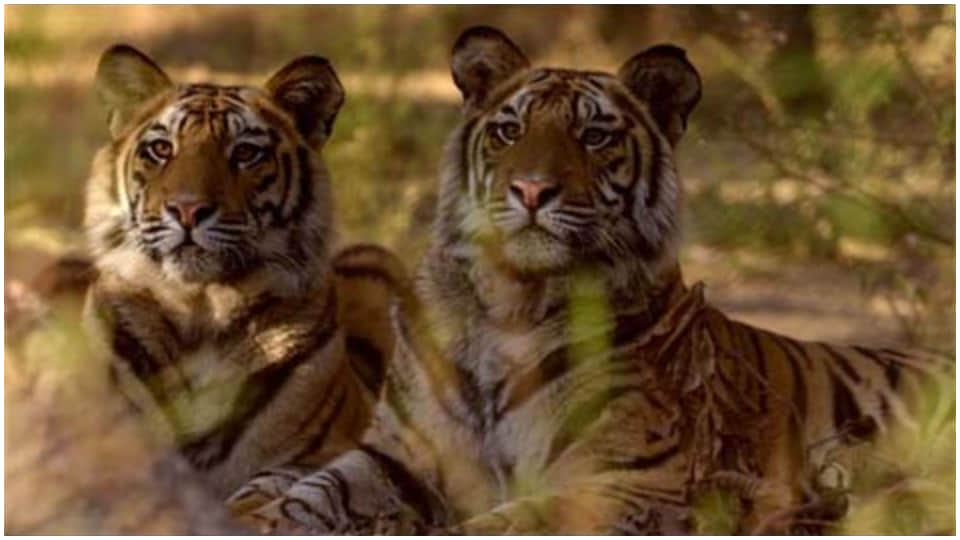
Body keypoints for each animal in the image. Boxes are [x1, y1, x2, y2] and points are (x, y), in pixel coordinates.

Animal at [81, 44, 410, 515]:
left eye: (245, 153)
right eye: (161, 148)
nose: (187, 209)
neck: (199, 310)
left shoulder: (334, 448)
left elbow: (275, 488)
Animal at [239, 26, 952, 534]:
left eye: (594, 135)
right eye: (510, 130)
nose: (531, 190)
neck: (507, 304)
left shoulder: (625, 481)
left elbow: (499, 526)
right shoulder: (402, 452)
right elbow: (311, 492)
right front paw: (259, 514)